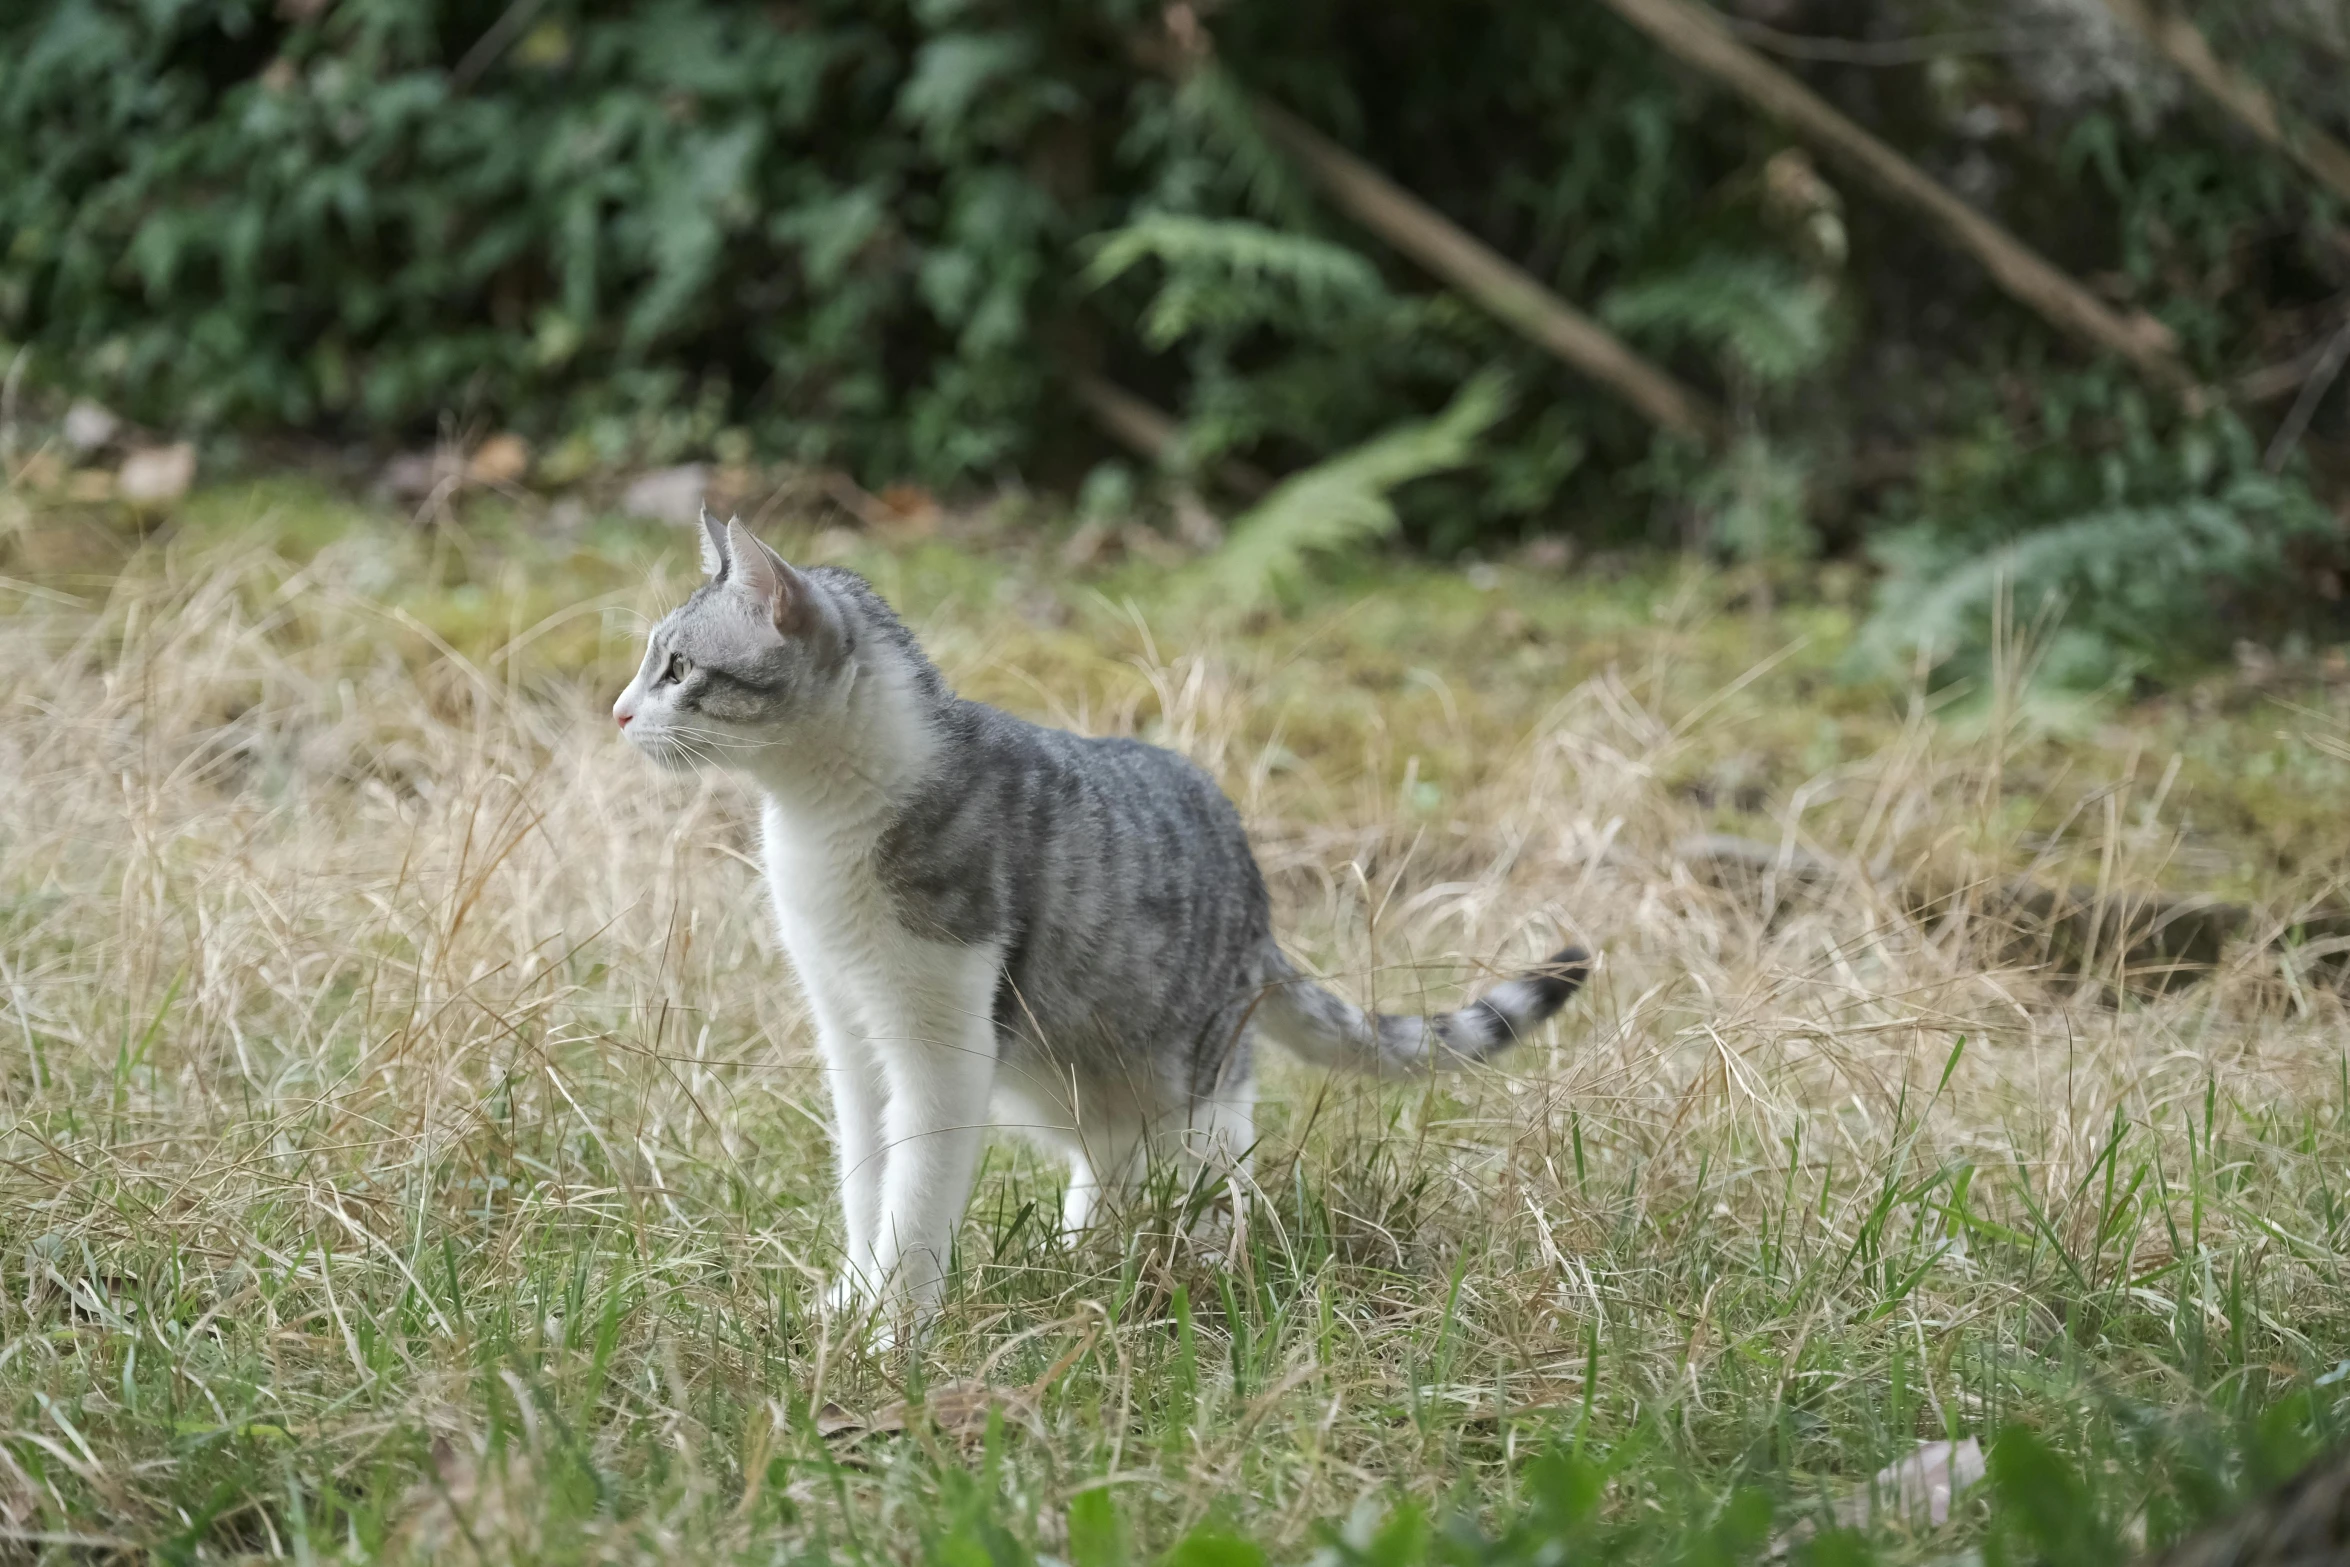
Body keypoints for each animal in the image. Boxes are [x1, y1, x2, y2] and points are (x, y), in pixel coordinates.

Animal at [615, 512, 1588, 1334]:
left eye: (678, 670)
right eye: (651, 663)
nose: (619, 711)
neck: (819, 816)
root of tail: (1258, 903)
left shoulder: (939, 1046)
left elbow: (915, 1196)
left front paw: (894, 1337)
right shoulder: (849, 1033)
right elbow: (866, 1180)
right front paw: (853, 1302)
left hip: (1197, 1088)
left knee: (1209, 1182)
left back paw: (1192, 1269)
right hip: (1082, 1081)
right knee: (1113, 1167)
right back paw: (1075, 1256)